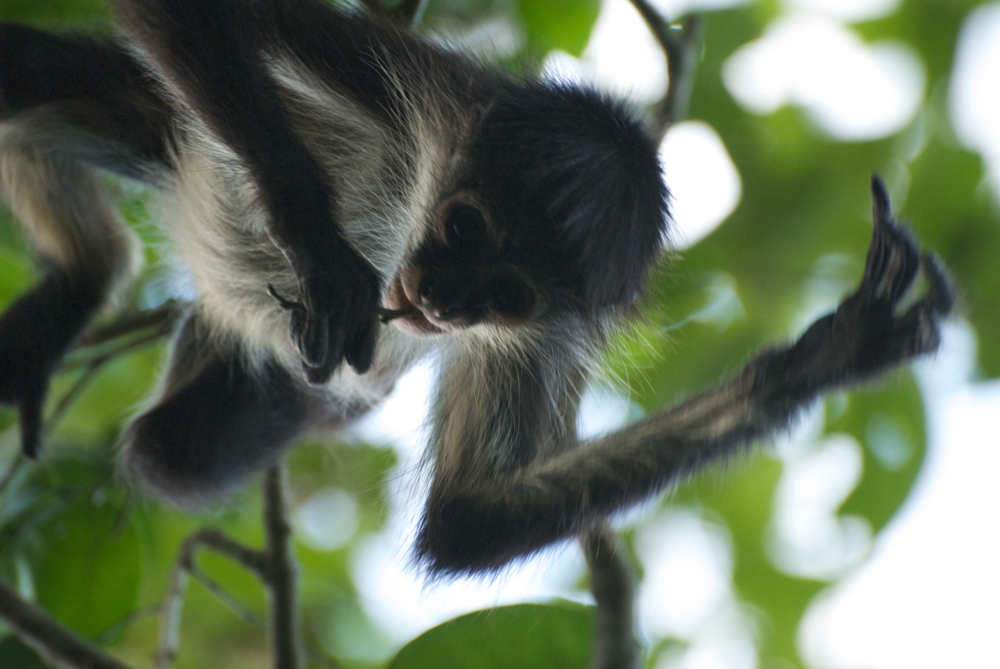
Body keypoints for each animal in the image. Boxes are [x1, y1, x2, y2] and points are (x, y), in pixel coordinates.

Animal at [0, 0, 950, 641]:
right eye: (464, 228)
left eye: (508, 297)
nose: (442, 302)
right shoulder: (428, 87)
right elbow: (196, 9)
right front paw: (324, 250)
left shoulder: (552, 334)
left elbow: (465, 520)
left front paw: (829, 355)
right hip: (159, 115)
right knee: (31, 76)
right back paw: (90, 275)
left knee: (172, 450)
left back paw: (104, 285)